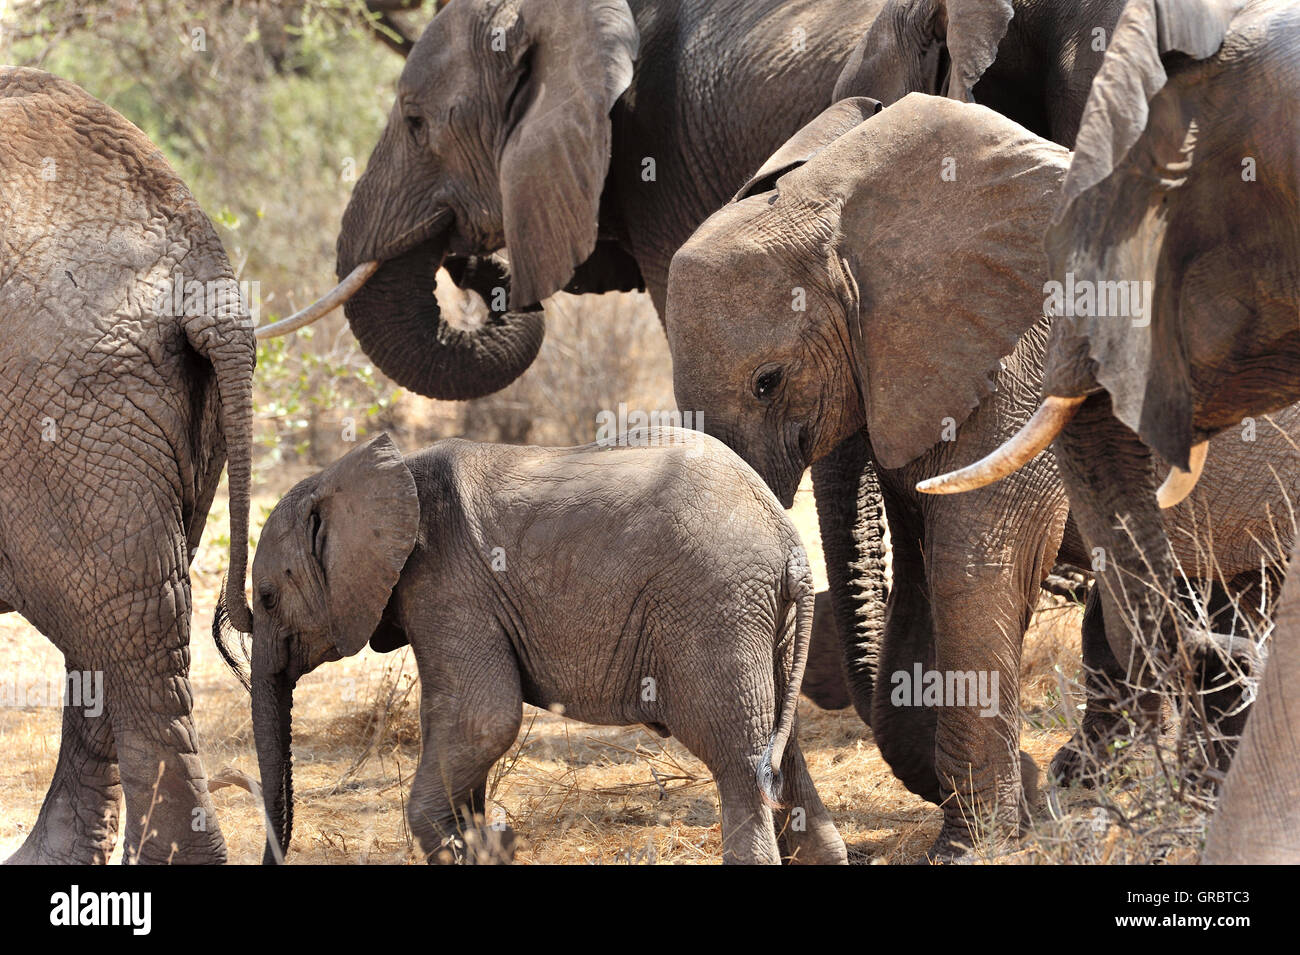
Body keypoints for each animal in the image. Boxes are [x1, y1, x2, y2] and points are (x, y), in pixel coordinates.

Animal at [246, 428, 847, 862]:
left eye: (269, 599)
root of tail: (790, 543)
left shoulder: (448, 586)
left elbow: (482, 720)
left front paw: (462, 846)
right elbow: (470, 733)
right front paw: (483, 843)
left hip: (715, 602)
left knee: (734, 752)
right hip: (764, 622)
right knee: (782, 745)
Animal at [660, 95, 1300, 857]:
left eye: (767, 381)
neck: (838, 203)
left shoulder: (1022, 364)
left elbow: (973, 568)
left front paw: (973, 844)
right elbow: (921, 584)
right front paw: (1024, 800)